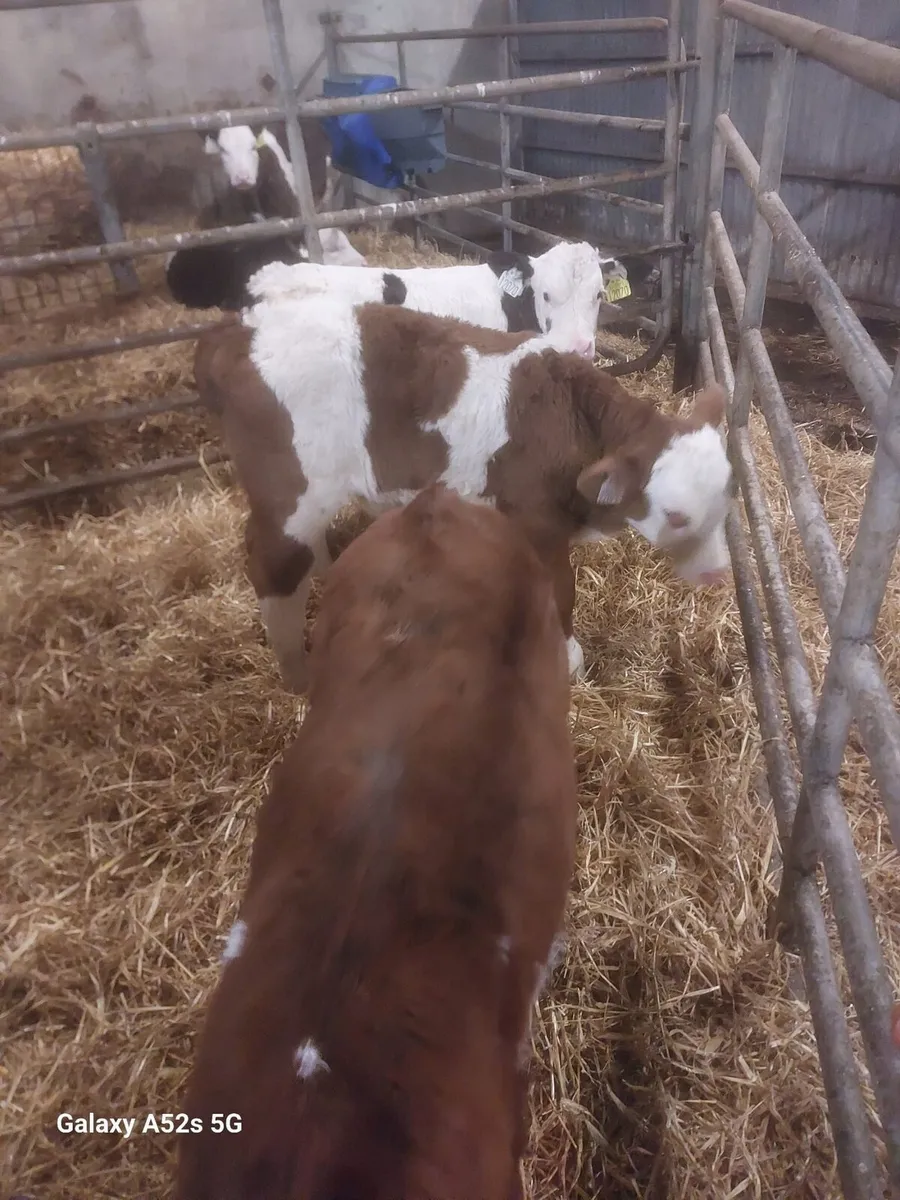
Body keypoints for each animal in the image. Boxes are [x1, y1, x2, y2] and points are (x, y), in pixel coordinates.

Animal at [193, 296, 734, 694]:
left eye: (725, 503)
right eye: (675, 515)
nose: (718, 574)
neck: (573, 415)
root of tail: (237, 328)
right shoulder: (537, 522)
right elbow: (561, 592)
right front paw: (568, 662)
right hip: (287, 491)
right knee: (272, 567)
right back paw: (299, 678)